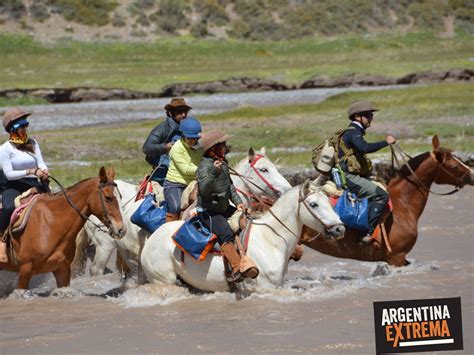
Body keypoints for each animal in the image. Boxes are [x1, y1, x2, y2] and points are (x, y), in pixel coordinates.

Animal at [141, 181, 344, 292]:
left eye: (329, 202)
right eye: (314, 204)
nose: (339, 230)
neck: (271, 240)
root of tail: (152, 238)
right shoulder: (265, 287)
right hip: (163, 280)